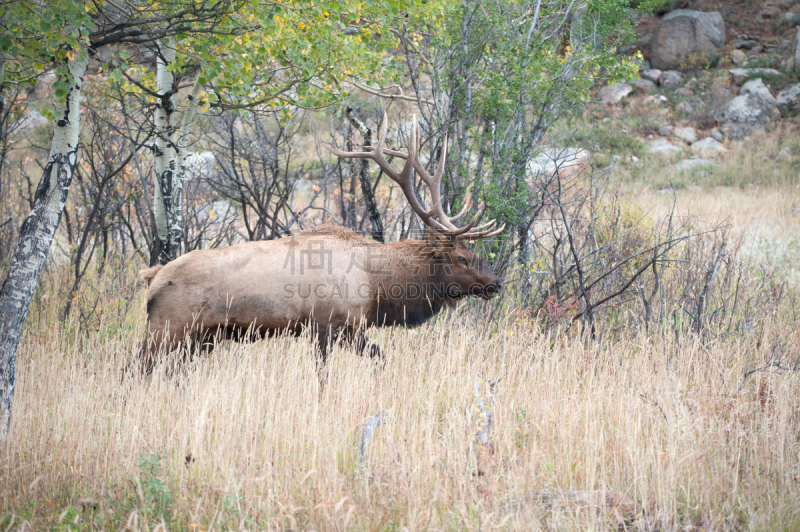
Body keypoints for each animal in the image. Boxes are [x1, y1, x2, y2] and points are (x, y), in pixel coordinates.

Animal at [135, 115, 504, 374]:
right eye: (461, 257)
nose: (497, 282)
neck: (376, 285)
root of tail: (152, 277)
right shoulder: (328, 325)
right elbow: (329, 373)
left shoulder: (344, 328)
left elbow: (378, 358)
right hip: (166, 329)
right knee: (135, 370)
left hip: (200, 339)